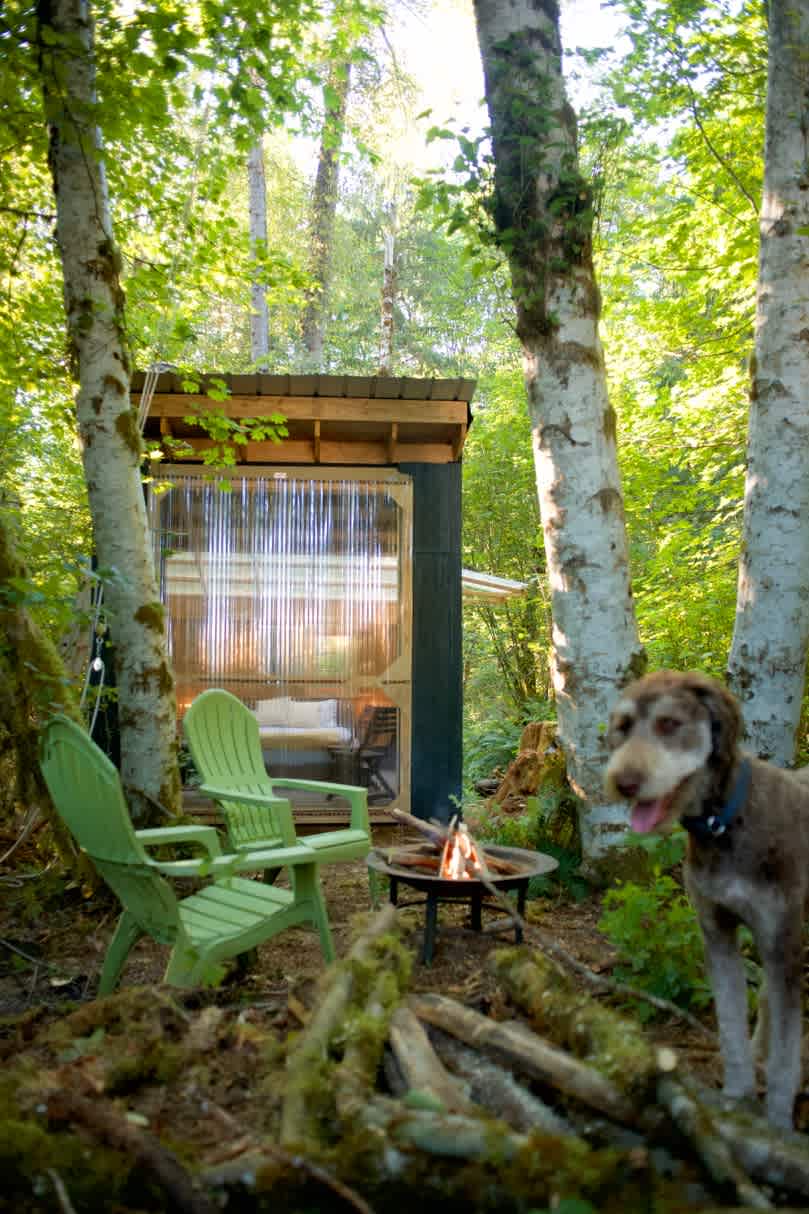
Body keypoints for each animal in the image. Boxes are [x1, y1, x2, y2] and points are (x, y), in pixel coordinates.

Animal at [602, 670, 801, 1121]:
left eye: (669, 724)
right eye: (623, 727)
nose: (624, 783)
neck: (724, 824)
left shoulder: (782, 945)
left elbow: (785, 1059)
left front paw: (777, 1123)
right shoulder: (718, 933)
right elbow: (730, 1026)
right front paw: (737, 1096)